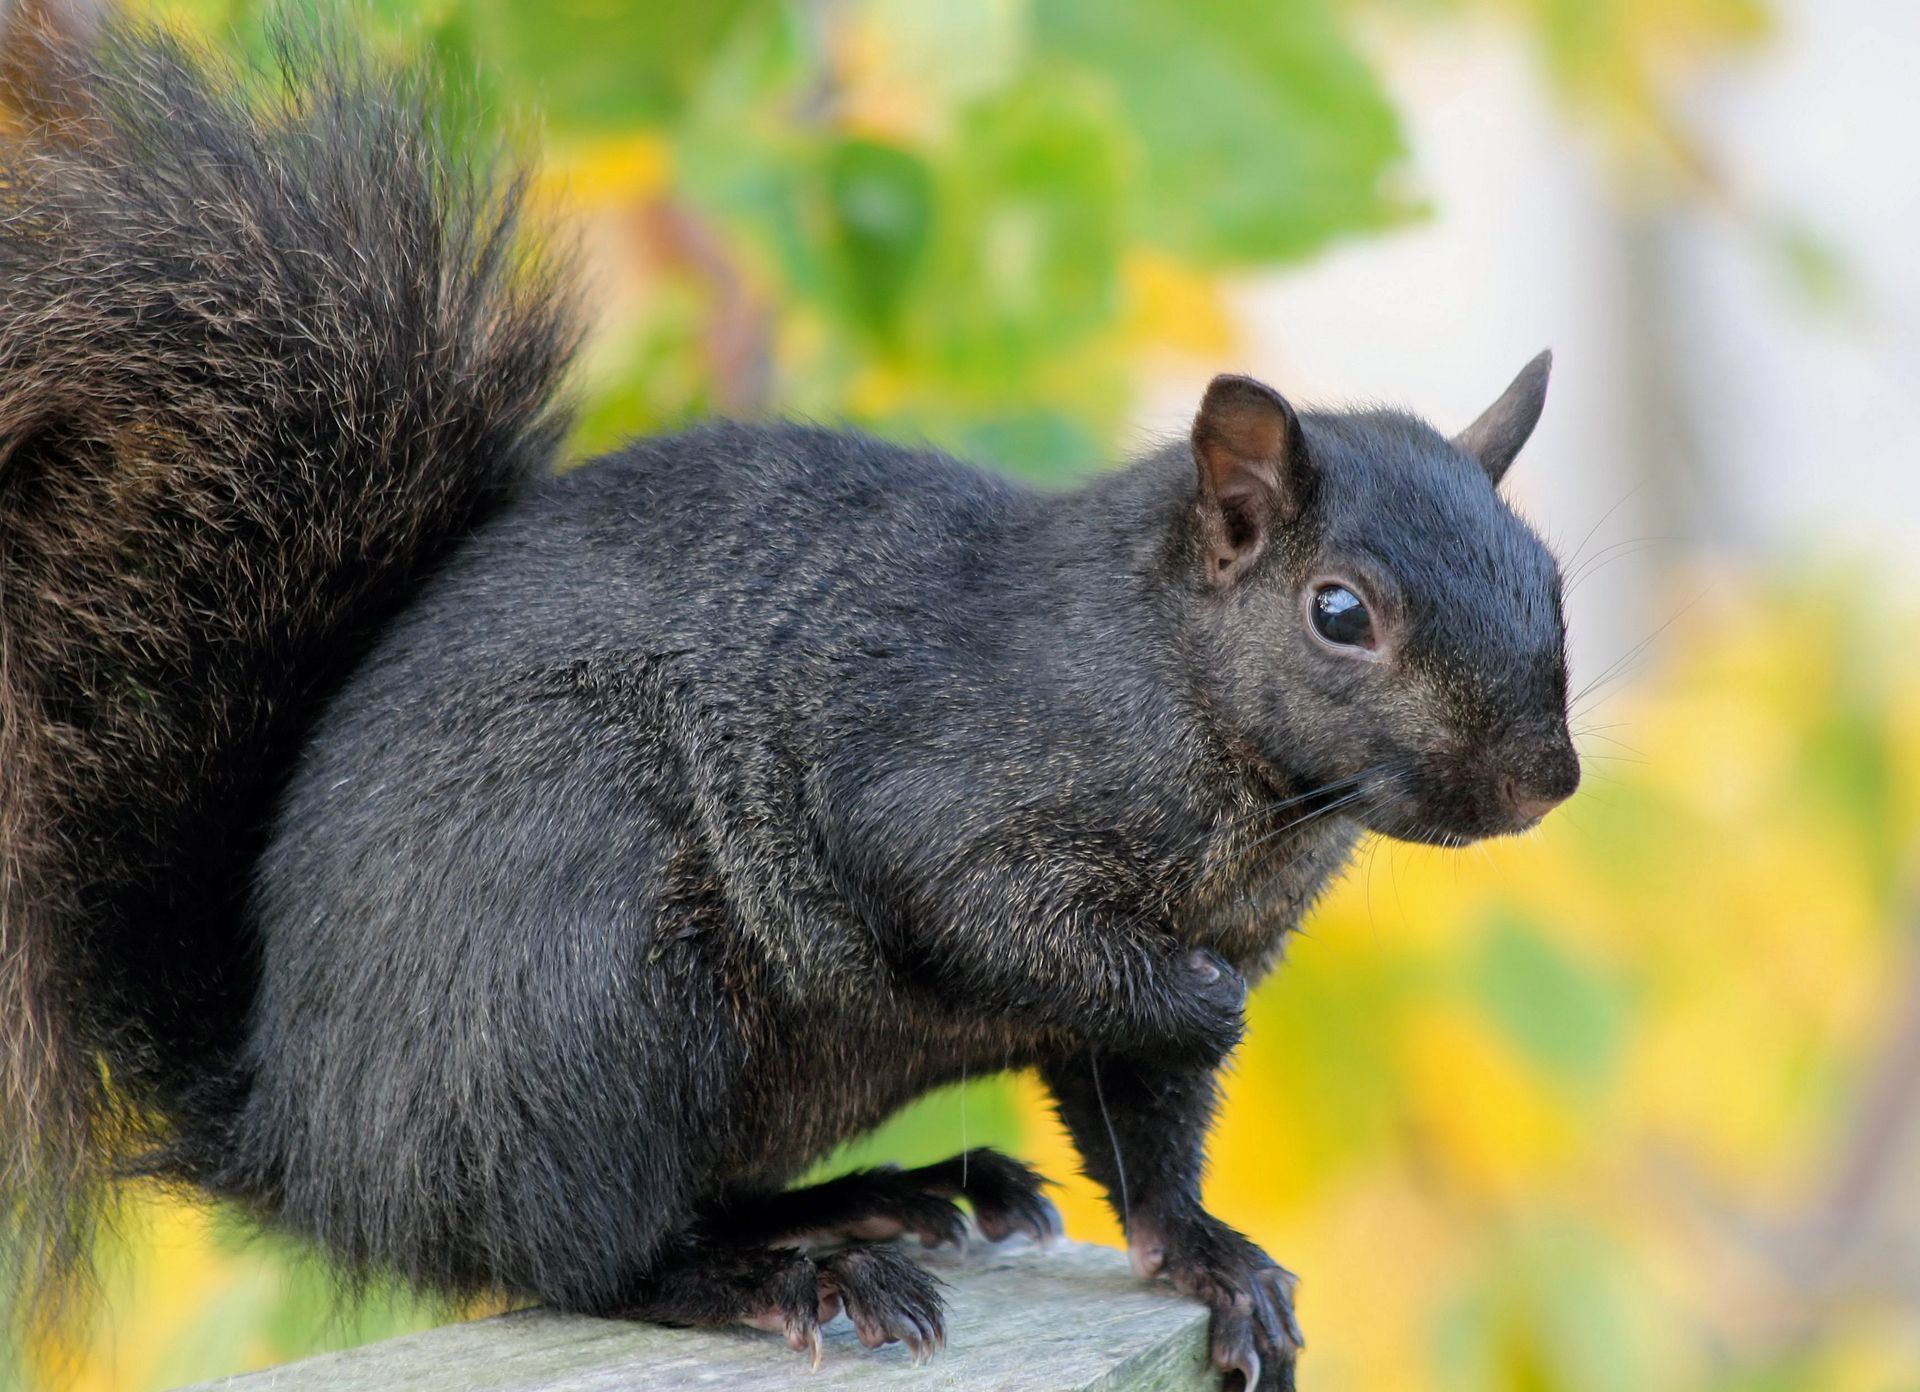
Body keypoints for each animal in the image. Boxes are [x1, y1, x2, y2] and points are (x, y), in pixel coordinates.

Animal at [0, 18, 1580, 1392]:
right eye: (1340, 613)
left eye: (1553, 578)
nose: (1541, 784)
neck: (1204, 733)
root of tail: (304, 1136)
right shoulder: (947, 794)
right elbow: (1017, 936)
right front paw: (1205, 1012)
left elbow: (1146, 1137)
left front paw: (1212, 1260)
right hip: (586, 966)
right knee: (587, 1251)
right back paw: (788, 1274)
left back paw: (878, 1198)